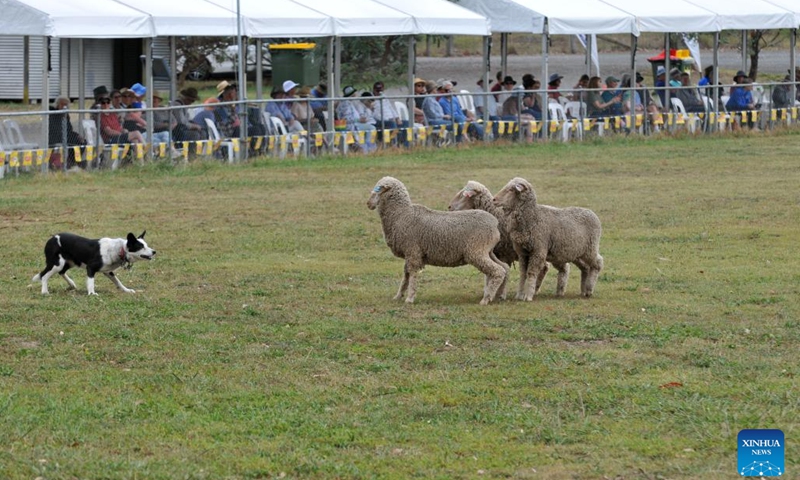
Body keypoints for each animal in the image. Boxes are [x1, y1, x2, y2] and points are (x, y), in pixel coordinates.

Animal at [367, 176, 509, 305]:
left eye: (379, 189)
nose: (368, 203)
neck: (400, 214)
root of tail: (494, 223)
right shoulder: (409, 253)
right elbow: (406, 275)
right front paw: (398, 296)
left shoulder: (413, 251)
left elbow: (412, 274)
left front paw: (410, 298)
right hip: (487, 251)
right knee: (504, 267)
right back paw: (497, 295)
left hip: (476, 251)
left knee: (497, 271)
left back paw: (486, 299)